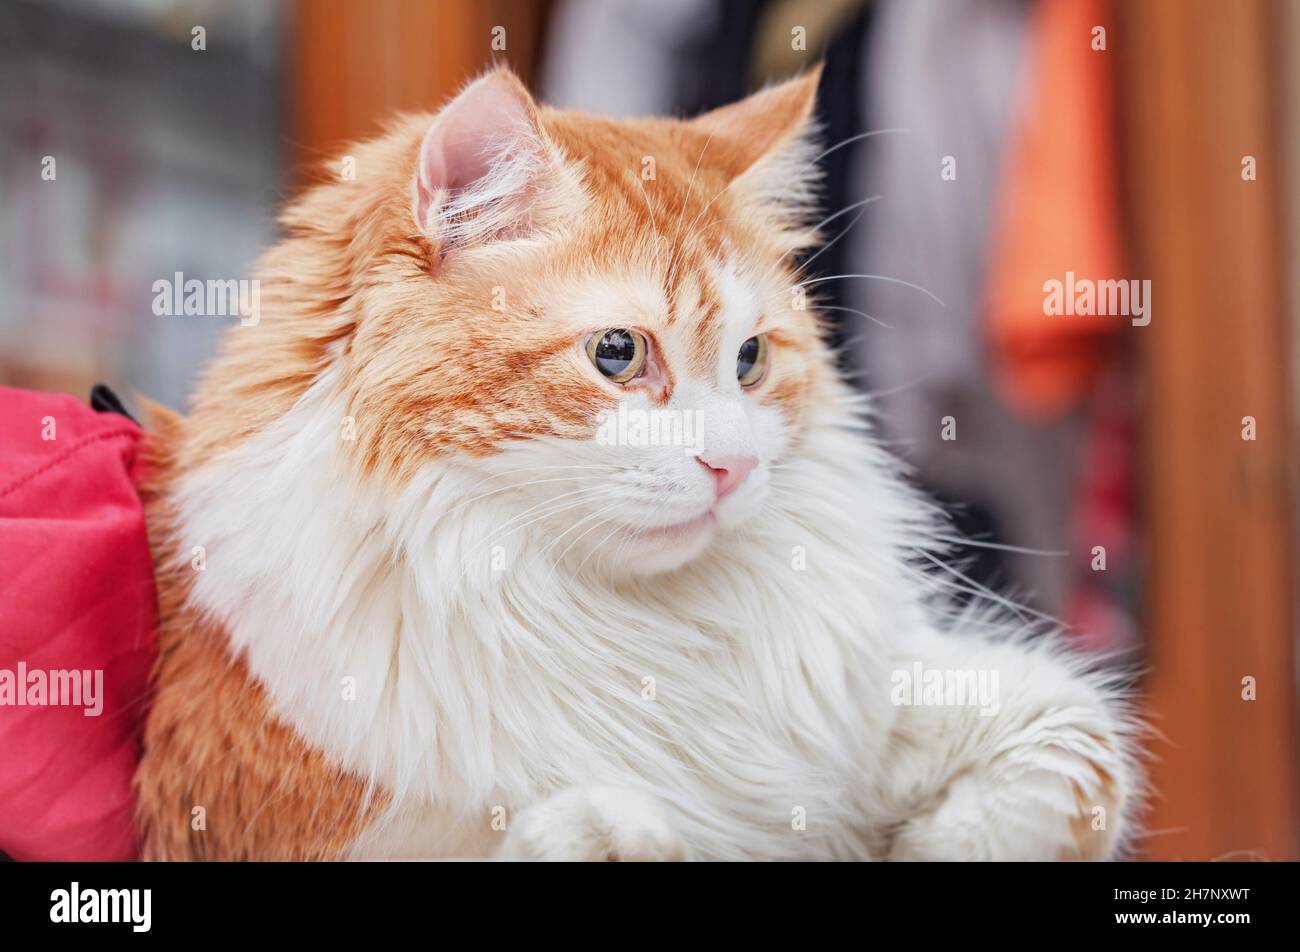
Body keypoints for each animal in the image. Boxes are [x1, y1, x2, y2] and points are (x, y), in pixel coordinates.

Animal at [134, 63, 1138, 858]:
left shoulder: (866, 713)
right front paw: (612, 830)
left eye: (750, 359)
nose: (732, 467)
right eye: (618, 354)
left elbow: (1079, 743)